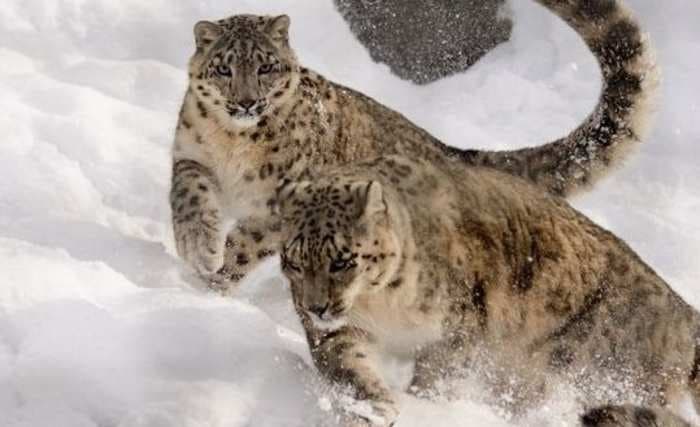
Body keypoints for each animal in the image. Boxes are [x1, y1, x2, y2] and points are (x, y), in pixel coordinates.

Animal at [172, 0, 660, 290]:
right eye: (224, 69)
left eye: (266, 67)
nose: (246, 101)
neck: (235, 143)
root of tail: (450, 150)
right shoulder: (192, 156)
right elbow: (188, 198)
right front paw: (198, 247)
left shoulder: (284, 200)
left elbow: (247, 241)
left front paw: (213, 278)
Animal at [272, 155, 700, 427]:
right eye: (294, 261)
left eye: (342, 260)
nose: (317, 308)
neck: (383, 306)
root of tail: (681, 312)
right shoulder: (339, 334)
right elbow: (350, 367)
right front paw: (375, 408)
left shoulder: (458, 330)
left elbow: (437, 377)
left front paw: (425, 407)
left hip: (585, 367)